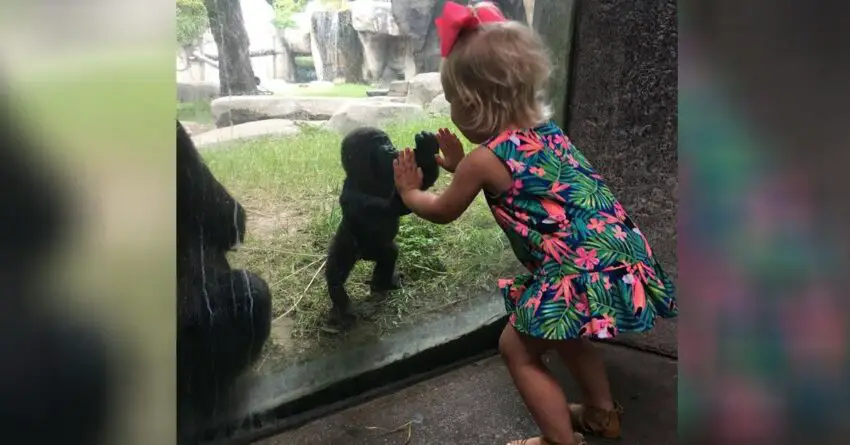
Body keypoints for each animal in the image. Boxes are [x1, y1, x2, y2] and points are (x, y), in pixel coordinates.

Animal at [322, 126, 438, 328]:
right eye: (379, 144)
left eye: (386, 141)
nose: (391, 148)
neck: (368, 177)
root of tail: (363, 256)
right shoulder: (354, 194)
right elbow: (397, 206)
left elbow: (417, 190)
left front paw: (427, 149)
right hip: (348, 242)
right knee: (336, 273)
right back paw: (342, 304)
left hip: (372, 251)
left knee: (389, 254)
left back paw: (381, 284)